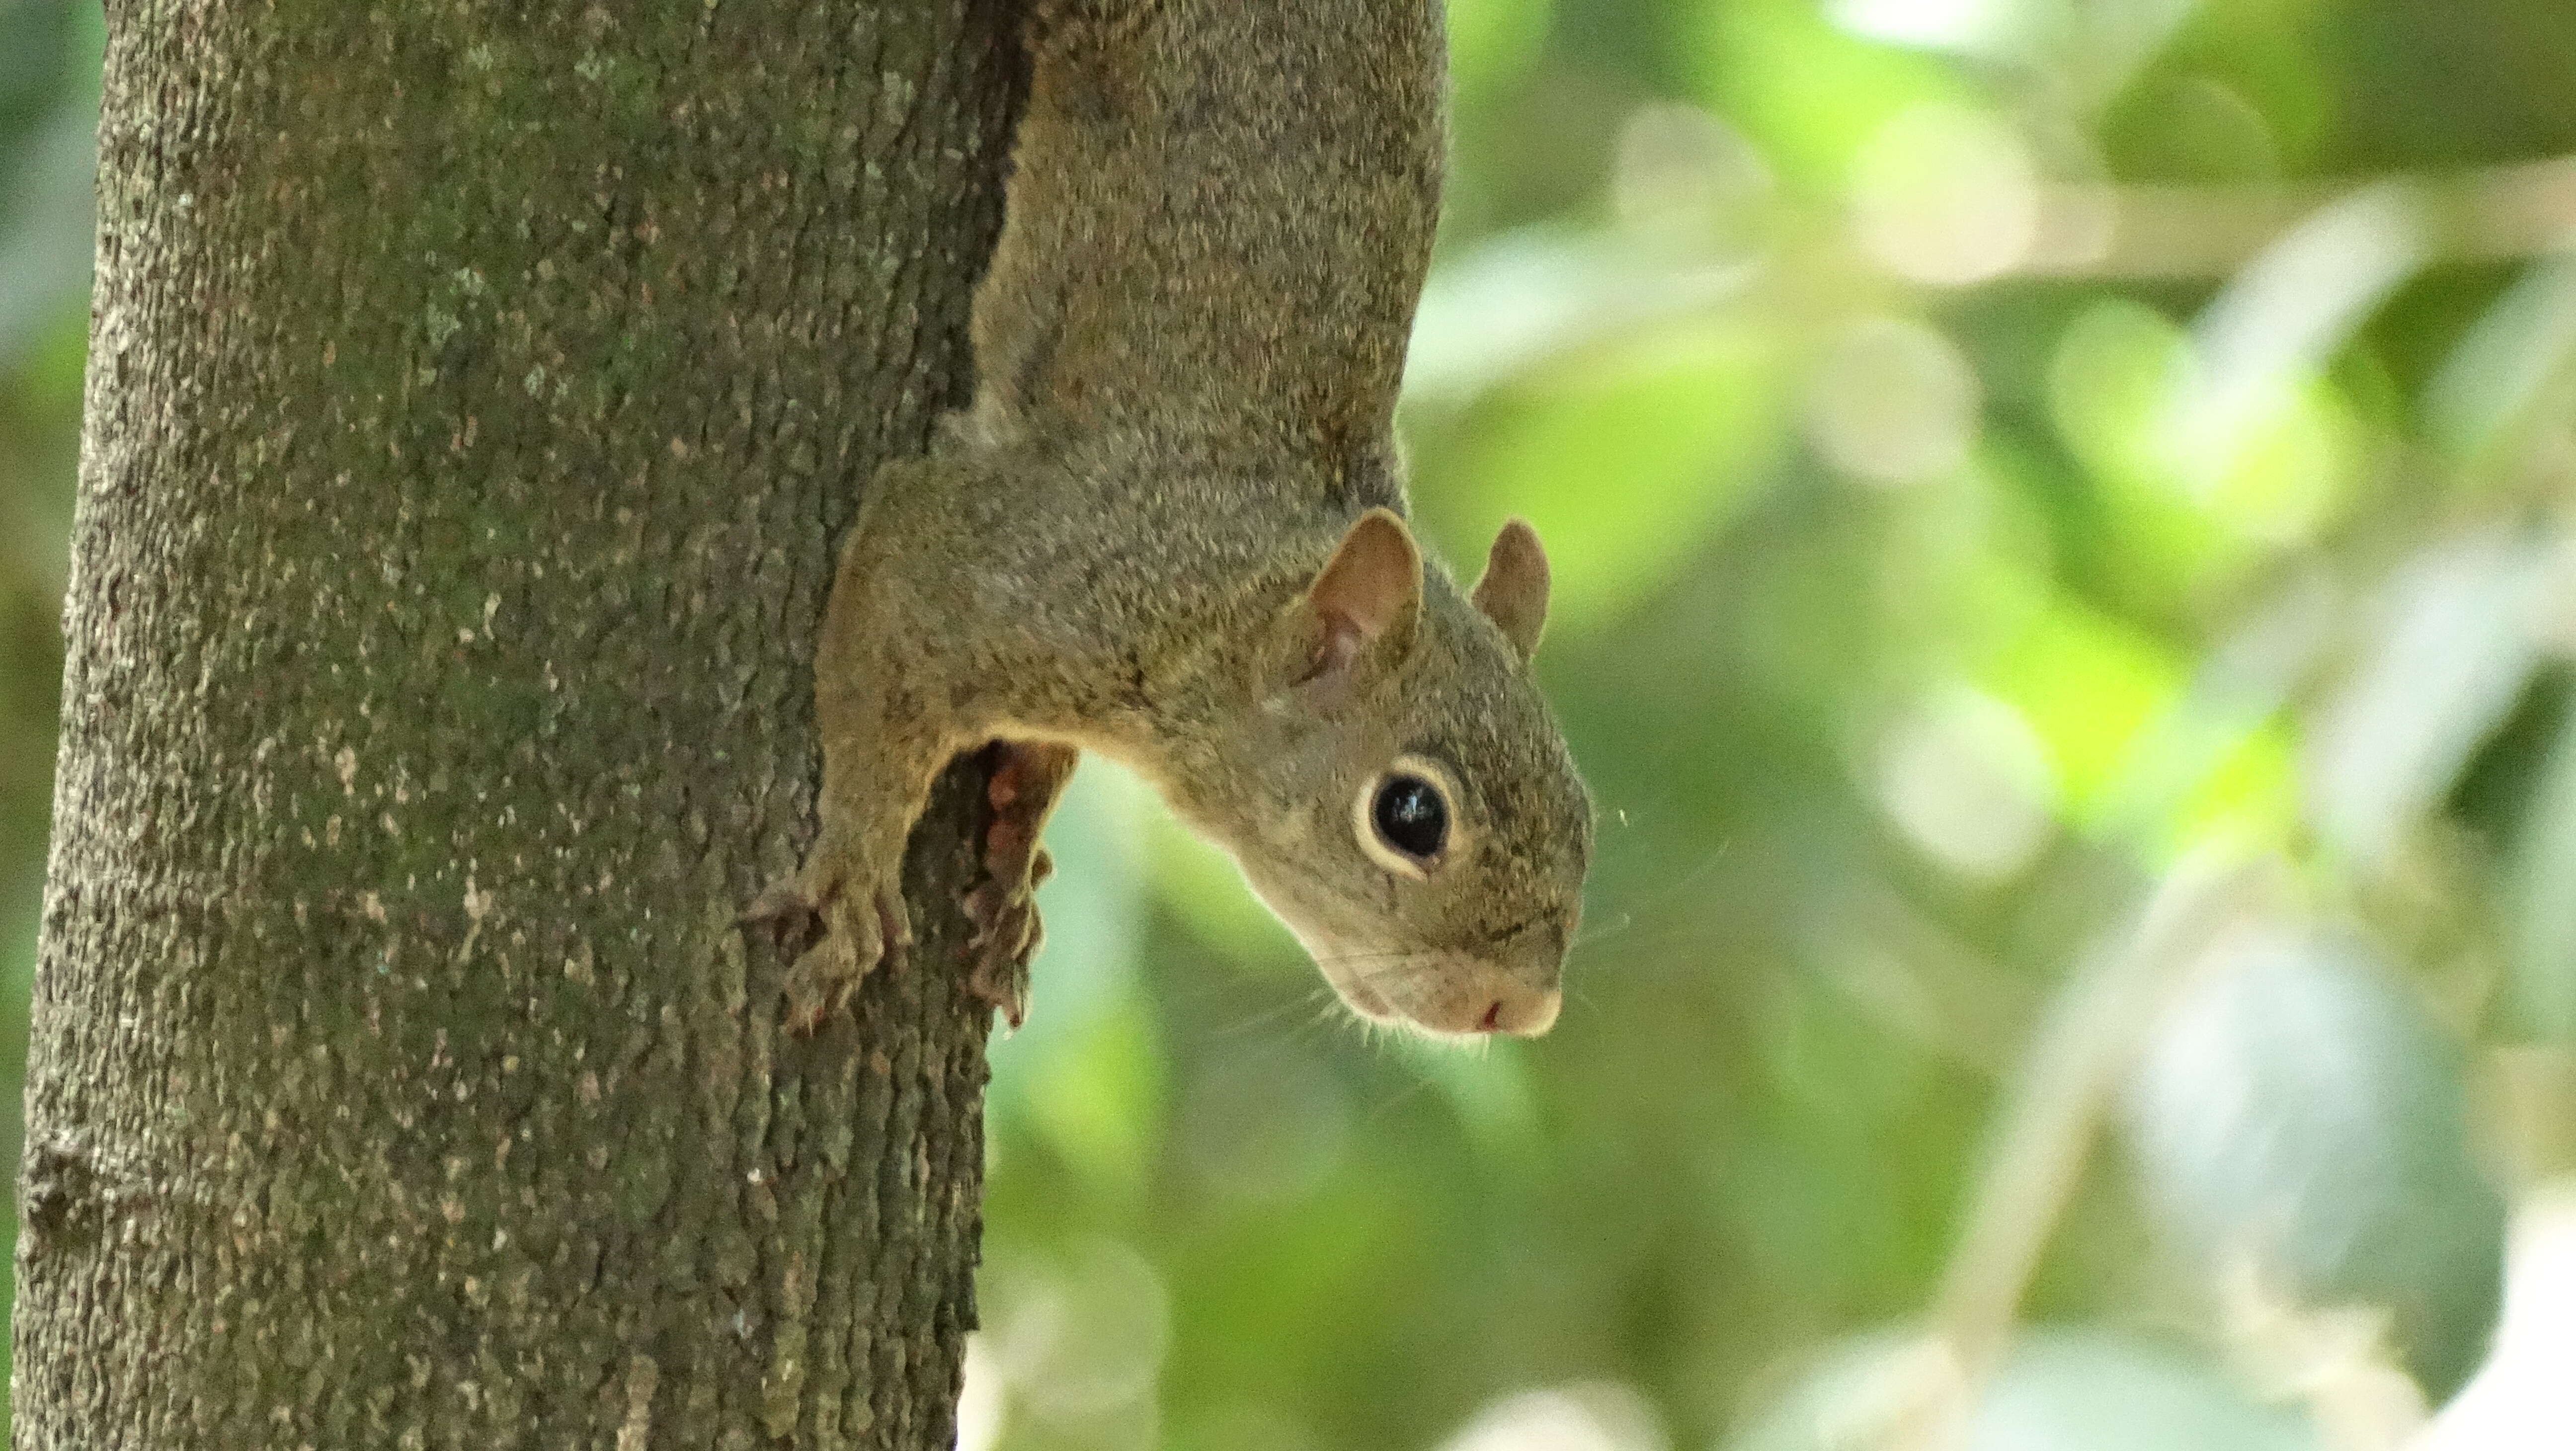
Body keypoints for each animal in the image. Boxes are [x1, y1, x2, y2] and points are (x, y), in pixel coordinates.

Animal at [747, 2, 1587, 1046]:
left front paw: (1017, 841)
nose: (1520, 1007)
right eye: (1409, 816)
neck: (1223, 606)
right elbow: (886, 658)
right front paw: (858, 872)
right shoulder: (1011, 563)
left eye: (1581, 814)